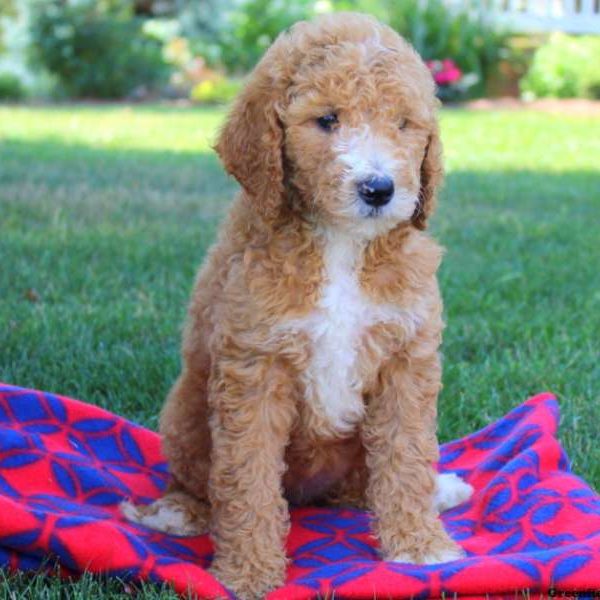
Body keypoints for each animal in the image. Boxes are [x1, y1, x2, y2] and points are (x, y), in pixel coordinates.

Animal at [122, 11, 474, 596]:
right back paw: (178, 512)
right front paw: (248, 574)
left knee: (368, 483)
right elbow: (247, 478)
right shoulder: (254, 366)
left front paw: (419, 546)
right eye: (326, 120)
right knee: (198, 481)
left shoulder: (406, 358)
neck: (341, 243)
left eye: (403, 123)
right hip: (184, 413)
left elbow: (404, 455)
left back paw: (438, 491)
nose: (379, 188)